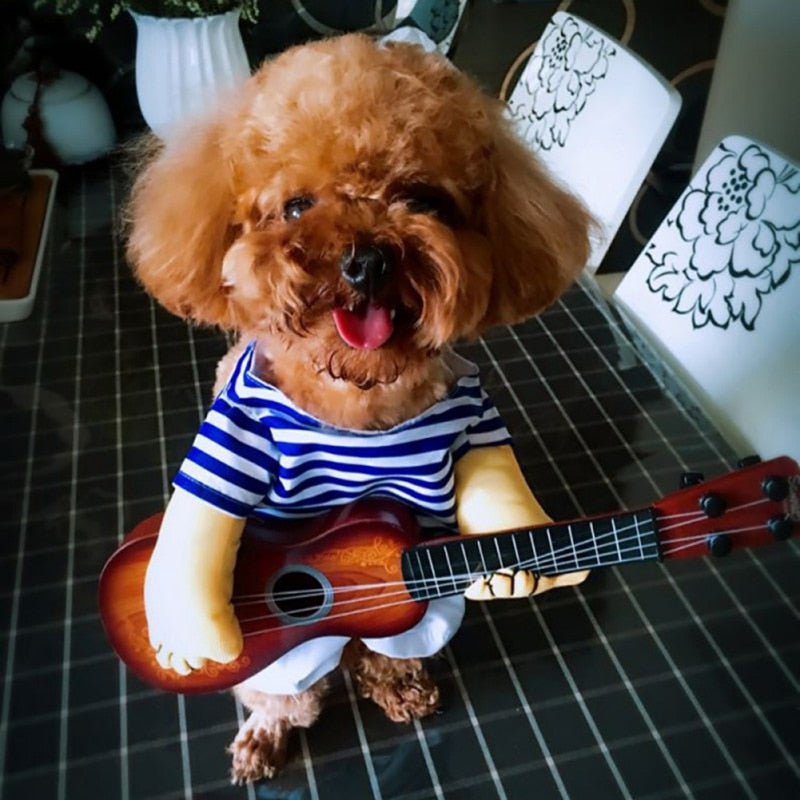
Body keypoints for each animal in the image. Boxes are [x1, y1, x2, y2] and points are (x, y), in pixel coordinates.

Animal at [123, 34, 588, 784]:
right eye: (295, 206)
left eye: (423, 200)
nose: (367, 260)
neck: (357, 396)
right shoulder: (236, 430)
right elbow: (204, 521)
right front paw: (187, 634)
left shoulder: (472, 416)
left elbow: (496, 505)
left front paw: (526, 570)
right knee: (290, 687)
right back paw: (267, 732)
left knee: (387, 646)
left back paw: (397, 683)